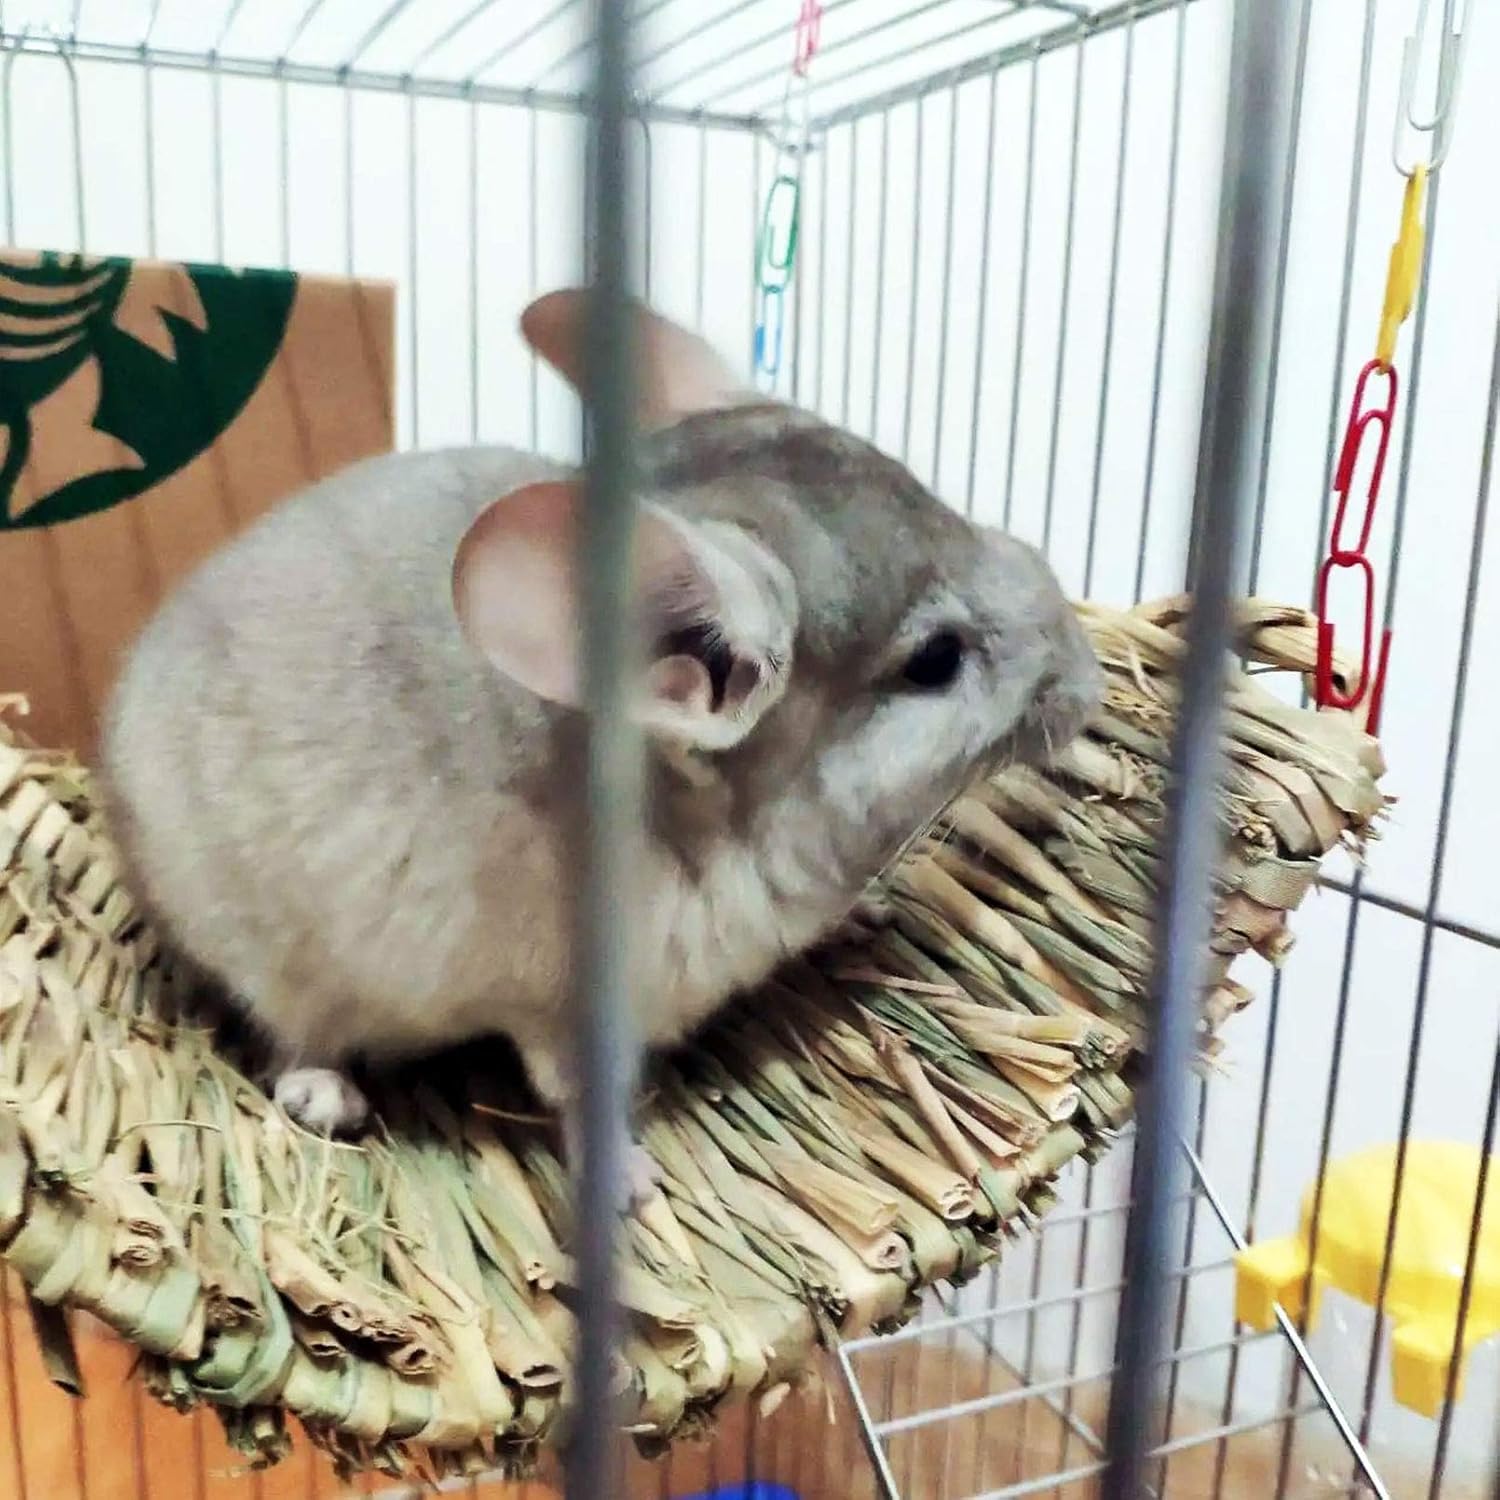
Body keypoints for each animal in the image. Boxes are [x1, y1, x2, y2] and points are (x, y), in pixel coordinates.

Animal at [100, 288, 1101, 1197]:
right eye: (936, 660)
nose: (1088, 676)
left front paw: (865, 913)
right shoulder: (559, 1009)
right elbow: (579, 1095)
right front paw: (629, 1188)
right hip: (265, 956)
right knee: (293, 1034)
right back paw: (326, 1097)